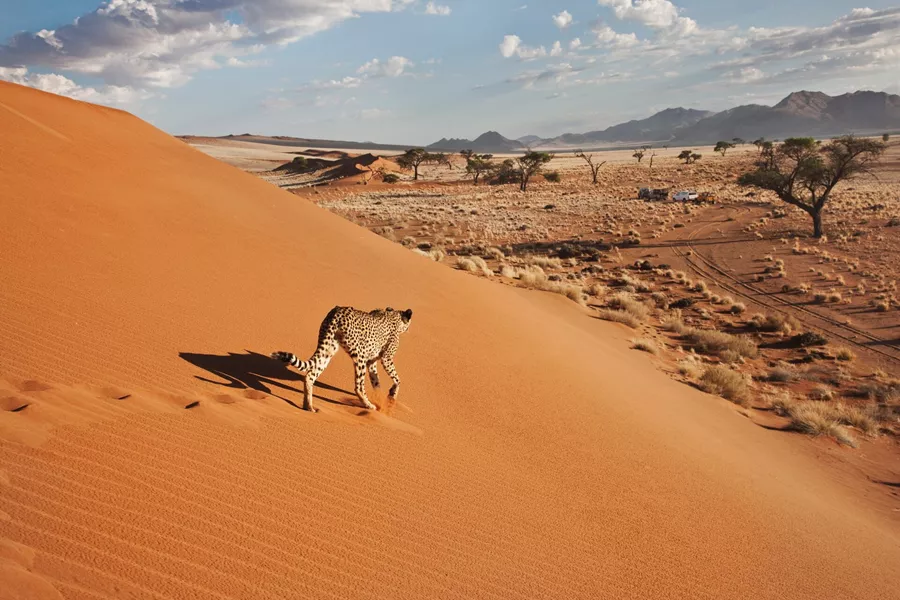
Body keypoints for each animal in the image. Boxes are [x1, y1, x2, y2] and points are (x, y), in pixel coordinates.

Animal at [272, 306, 413, 412]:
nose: (409, 329)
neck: (393, 315)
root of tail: (338, 311)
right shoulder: (385, 358)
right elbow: (397, 379)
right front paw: (391, 395)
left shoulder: (371, 362)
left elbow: (376, 382)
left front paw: (381, 398)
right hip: (359, 355)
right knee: (358, 386)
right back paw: (368, 405)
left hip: (328, 349)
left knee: (310, 375)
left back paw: (309, 406)